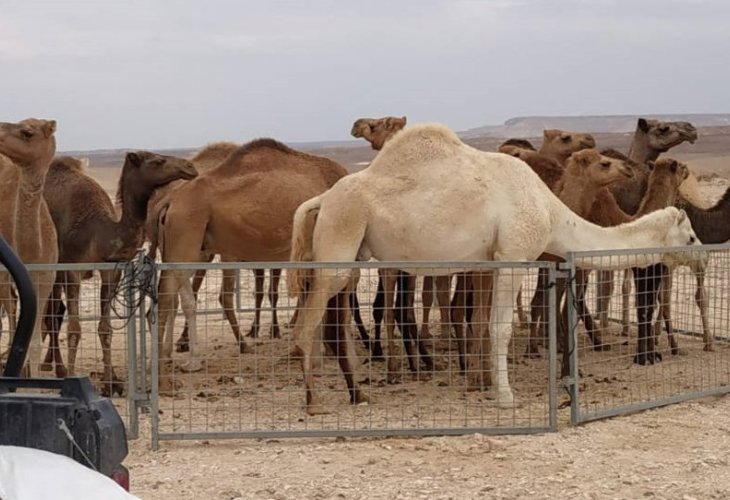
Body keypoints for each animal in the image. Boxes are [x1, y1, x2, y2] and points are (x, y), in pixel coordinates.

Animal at [41, 152, 196, 394]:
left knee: (54, 313)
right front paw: (73, 379)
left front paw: (111, 383)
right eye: (157, 161)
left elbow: (105, 329)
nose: (190, 166)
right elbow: (74, 330)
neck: (96, 232)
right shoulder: (71, 269)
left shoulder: (111, 272)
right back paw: (58, 369)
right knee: (50, 314)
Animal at [155, 138, 348, 390]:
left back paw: (176, 358)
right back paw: (176, 367)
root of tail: (171, 201)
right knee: (170, 296)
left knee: (175, 295)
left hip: (185, 245)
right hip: (186, 234)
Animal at [288, 123, 696, 416]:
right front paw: (505, 395)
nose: (701, 255)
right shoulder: (514, 253)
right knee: (307, 323)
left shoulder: (489, 260)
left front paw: (484, 384)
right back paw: (313, 402)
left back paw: (357, 394)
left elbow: (484, 322)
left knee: (333, 321)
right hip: (341, 233)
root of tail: (322, 199)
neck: (551, 211)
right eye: (690, 236)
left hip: (352, 254)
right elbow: (501, 328)